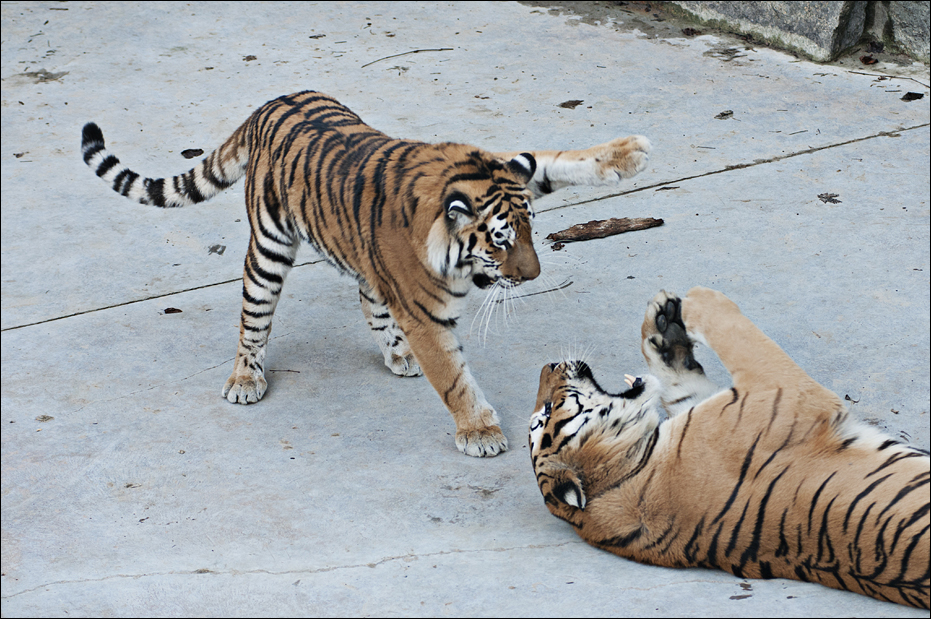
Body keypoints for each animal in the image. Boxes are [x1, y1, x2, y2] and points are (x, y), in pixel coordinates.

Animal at [81, 90, 651, 458]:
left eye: (530, 230)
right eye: (500, 241)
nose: (532, 277)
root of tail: (266, 107)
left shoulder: (508, 169)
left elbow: (559, 160)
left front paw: (627, 154)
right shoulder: (425, 315)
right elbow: (455, 378)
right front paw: (480, 431)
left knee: (367, 296)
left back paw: (397, 355)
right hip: (269, 248)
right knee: (254, 316)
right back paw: (245, 377)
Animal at [530, 287, 929, 608]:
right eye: (546, 411)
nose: (548, 363)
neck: (631, 466)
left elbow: (678, 383)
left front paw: (663, 326)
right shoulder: (780, 391)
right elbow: (734, 332)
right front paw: (696, 300)